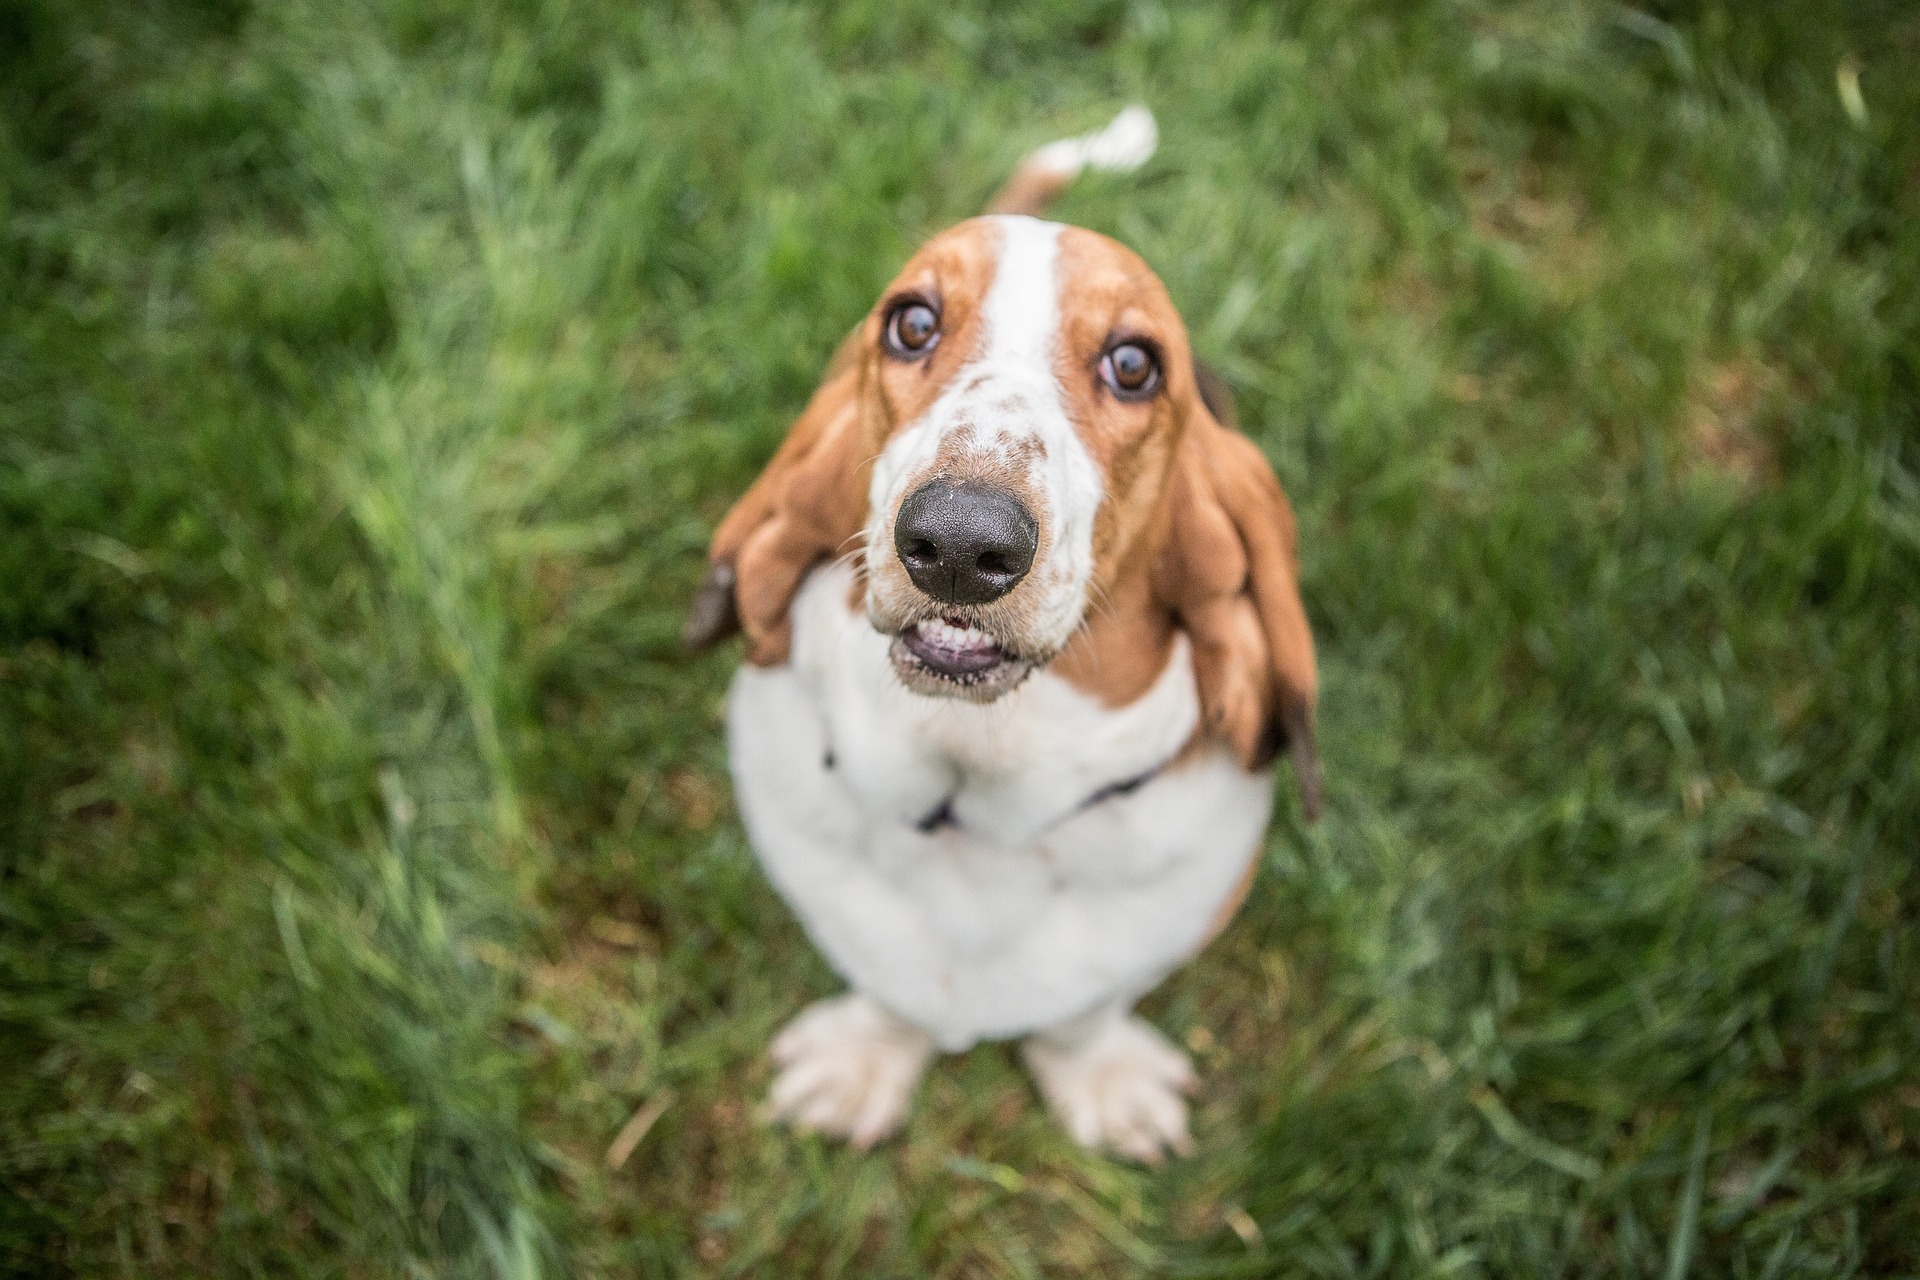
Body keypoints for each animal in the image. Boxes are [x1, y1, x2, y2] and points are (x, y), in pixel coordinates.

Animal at [679, 107, 1320, 1159]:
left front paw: (1100, 1082)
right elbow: (886, 991)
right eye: (912, 323)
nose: (957, 542)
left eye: (1134, 364)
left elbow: (1085, 1014)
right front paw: (861, 1064)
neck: (973, 793)